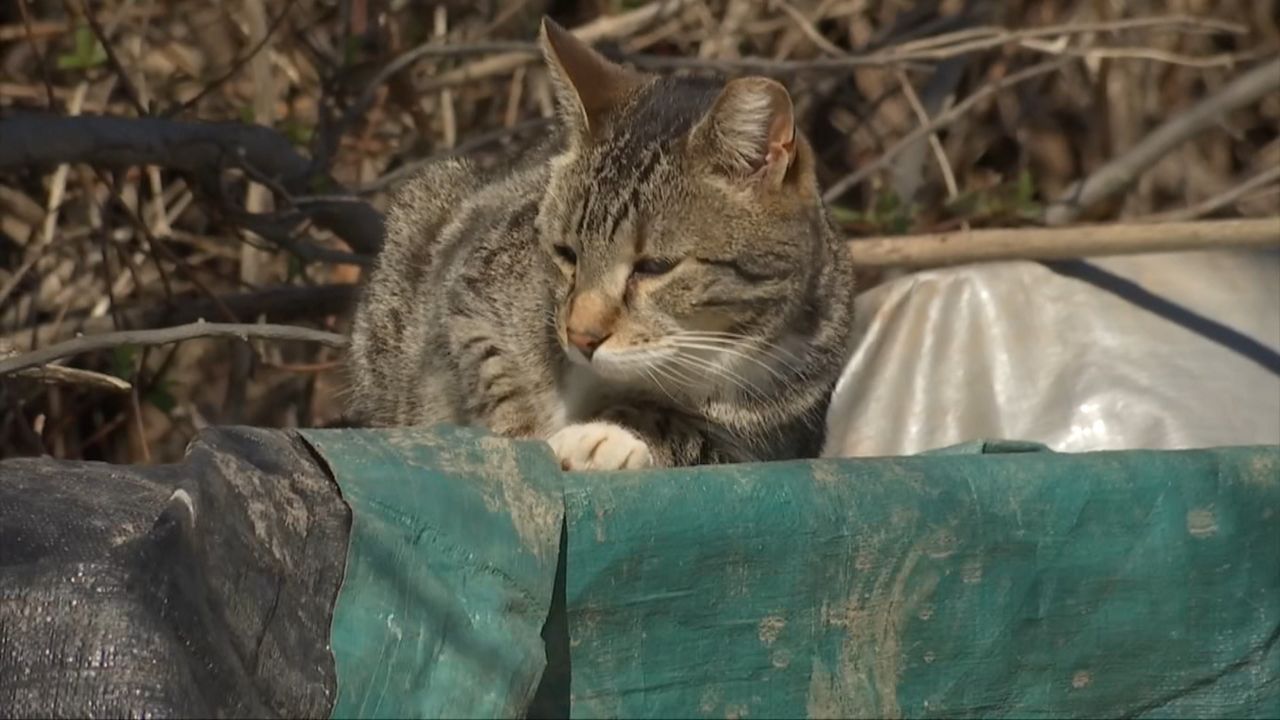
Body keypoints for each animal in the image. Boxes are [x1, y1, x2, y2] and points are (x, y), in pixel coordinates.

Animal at [345, 16, 855, 468]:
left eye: (655, 267)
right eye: (566, 253)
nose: (580, 336)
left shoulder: (773, 436)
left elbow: (682, 430)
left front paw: (606, 437)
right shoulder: (470, 290)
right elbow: (496, 372)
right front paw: (527, 429)